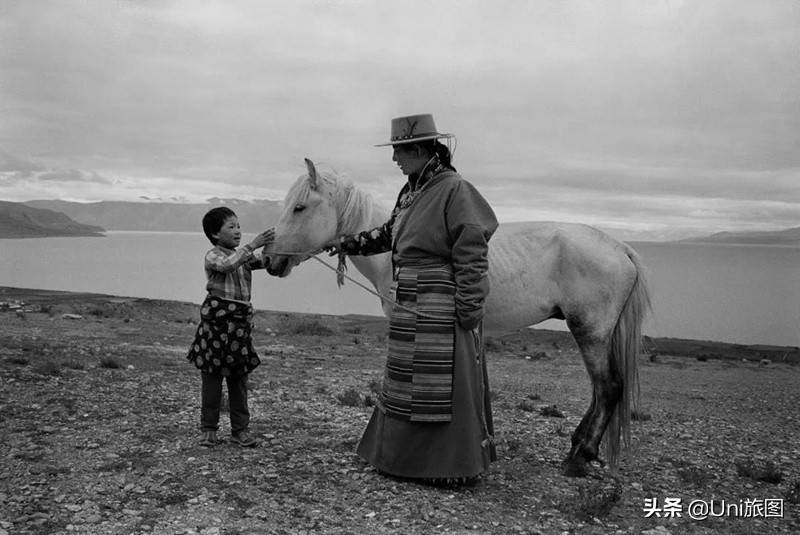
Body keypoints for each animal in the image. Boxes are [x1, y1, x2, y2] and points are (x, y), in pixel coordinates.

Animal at [266, 159, 652, 478]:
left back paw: (579, 457)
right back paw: (577, 447)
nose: (270, 260)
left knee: (608, 387)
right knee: (600, 391)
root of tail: (621, 248)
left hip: (590, 331)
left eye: (299, 207)